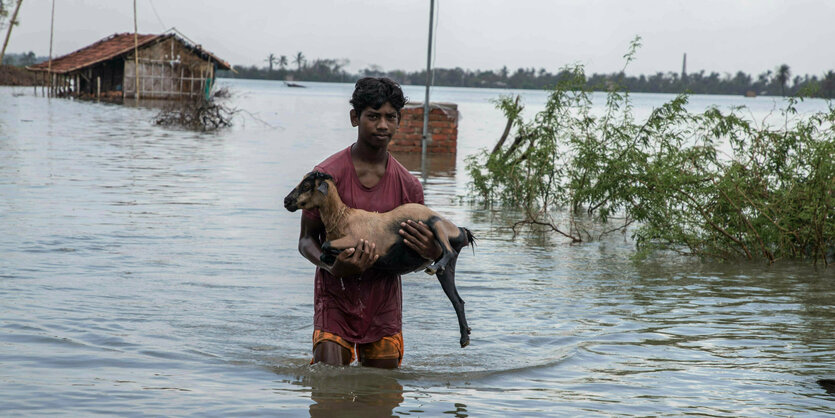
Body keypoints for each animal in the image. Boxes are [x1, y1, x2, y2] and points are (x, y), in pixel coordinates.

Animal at [284, 171, 474, 348]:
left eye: (307, 185)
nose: (286, 201)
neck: (343, 218)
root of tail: (461, 232)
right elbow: (324, 251)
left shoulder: (356, 238)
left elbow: (325, 245)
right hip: (448, 267)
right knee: (457, 299)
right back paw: (464, 337)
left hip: (436, 224)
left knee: (448, 251)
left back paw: (434, 268)